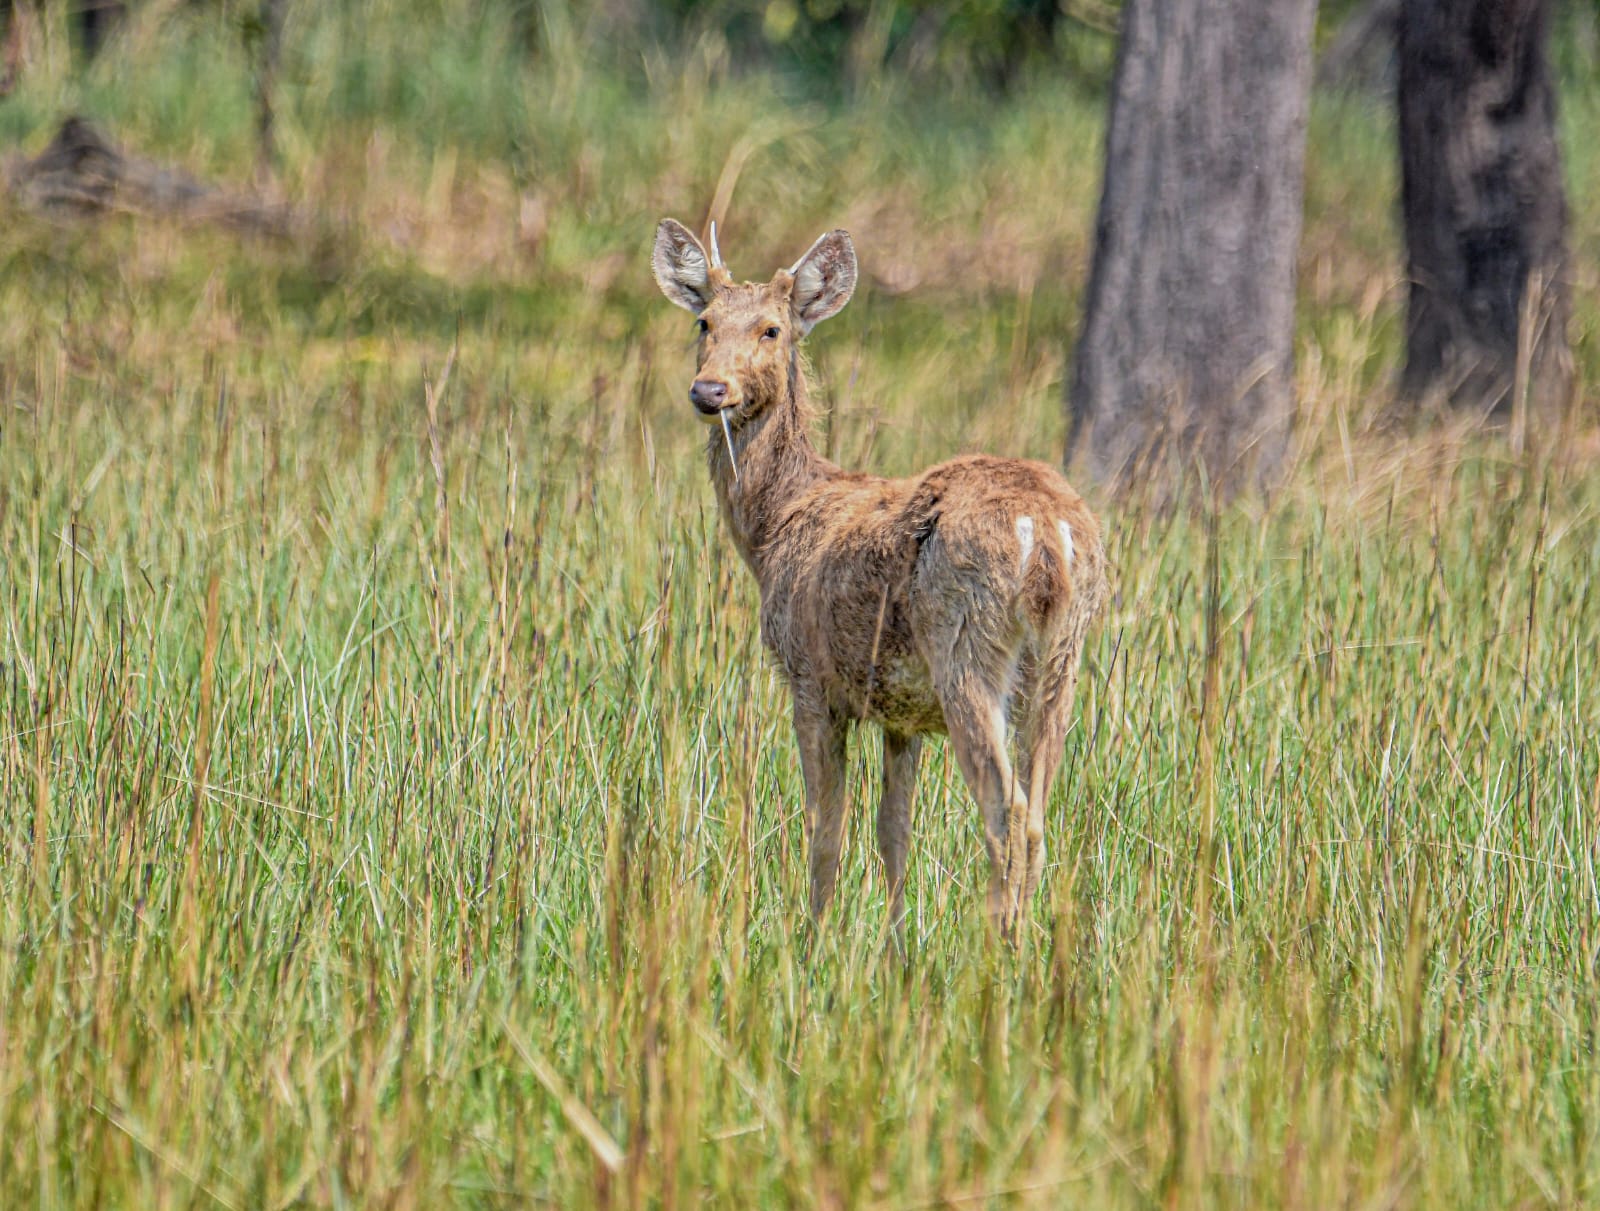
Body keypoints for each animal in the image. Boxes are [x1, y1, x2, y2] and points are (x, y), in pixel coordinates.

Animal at [651, 217, 1109, 941]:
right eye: (704, 321)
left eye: (772, 329)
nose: (710, 390)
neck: (776, 524)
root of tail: (1048, 540)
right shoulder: (903, 716)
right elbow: (894, 833)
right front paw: (894, 944)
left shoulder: (809, 676)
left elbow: (826, 829)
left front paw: (810, 939)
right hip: (1062, 660)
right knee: (1037, 816)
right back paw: (1020, 939)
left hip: (965, 646)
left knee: (1007, 814)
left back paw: (992, 945)